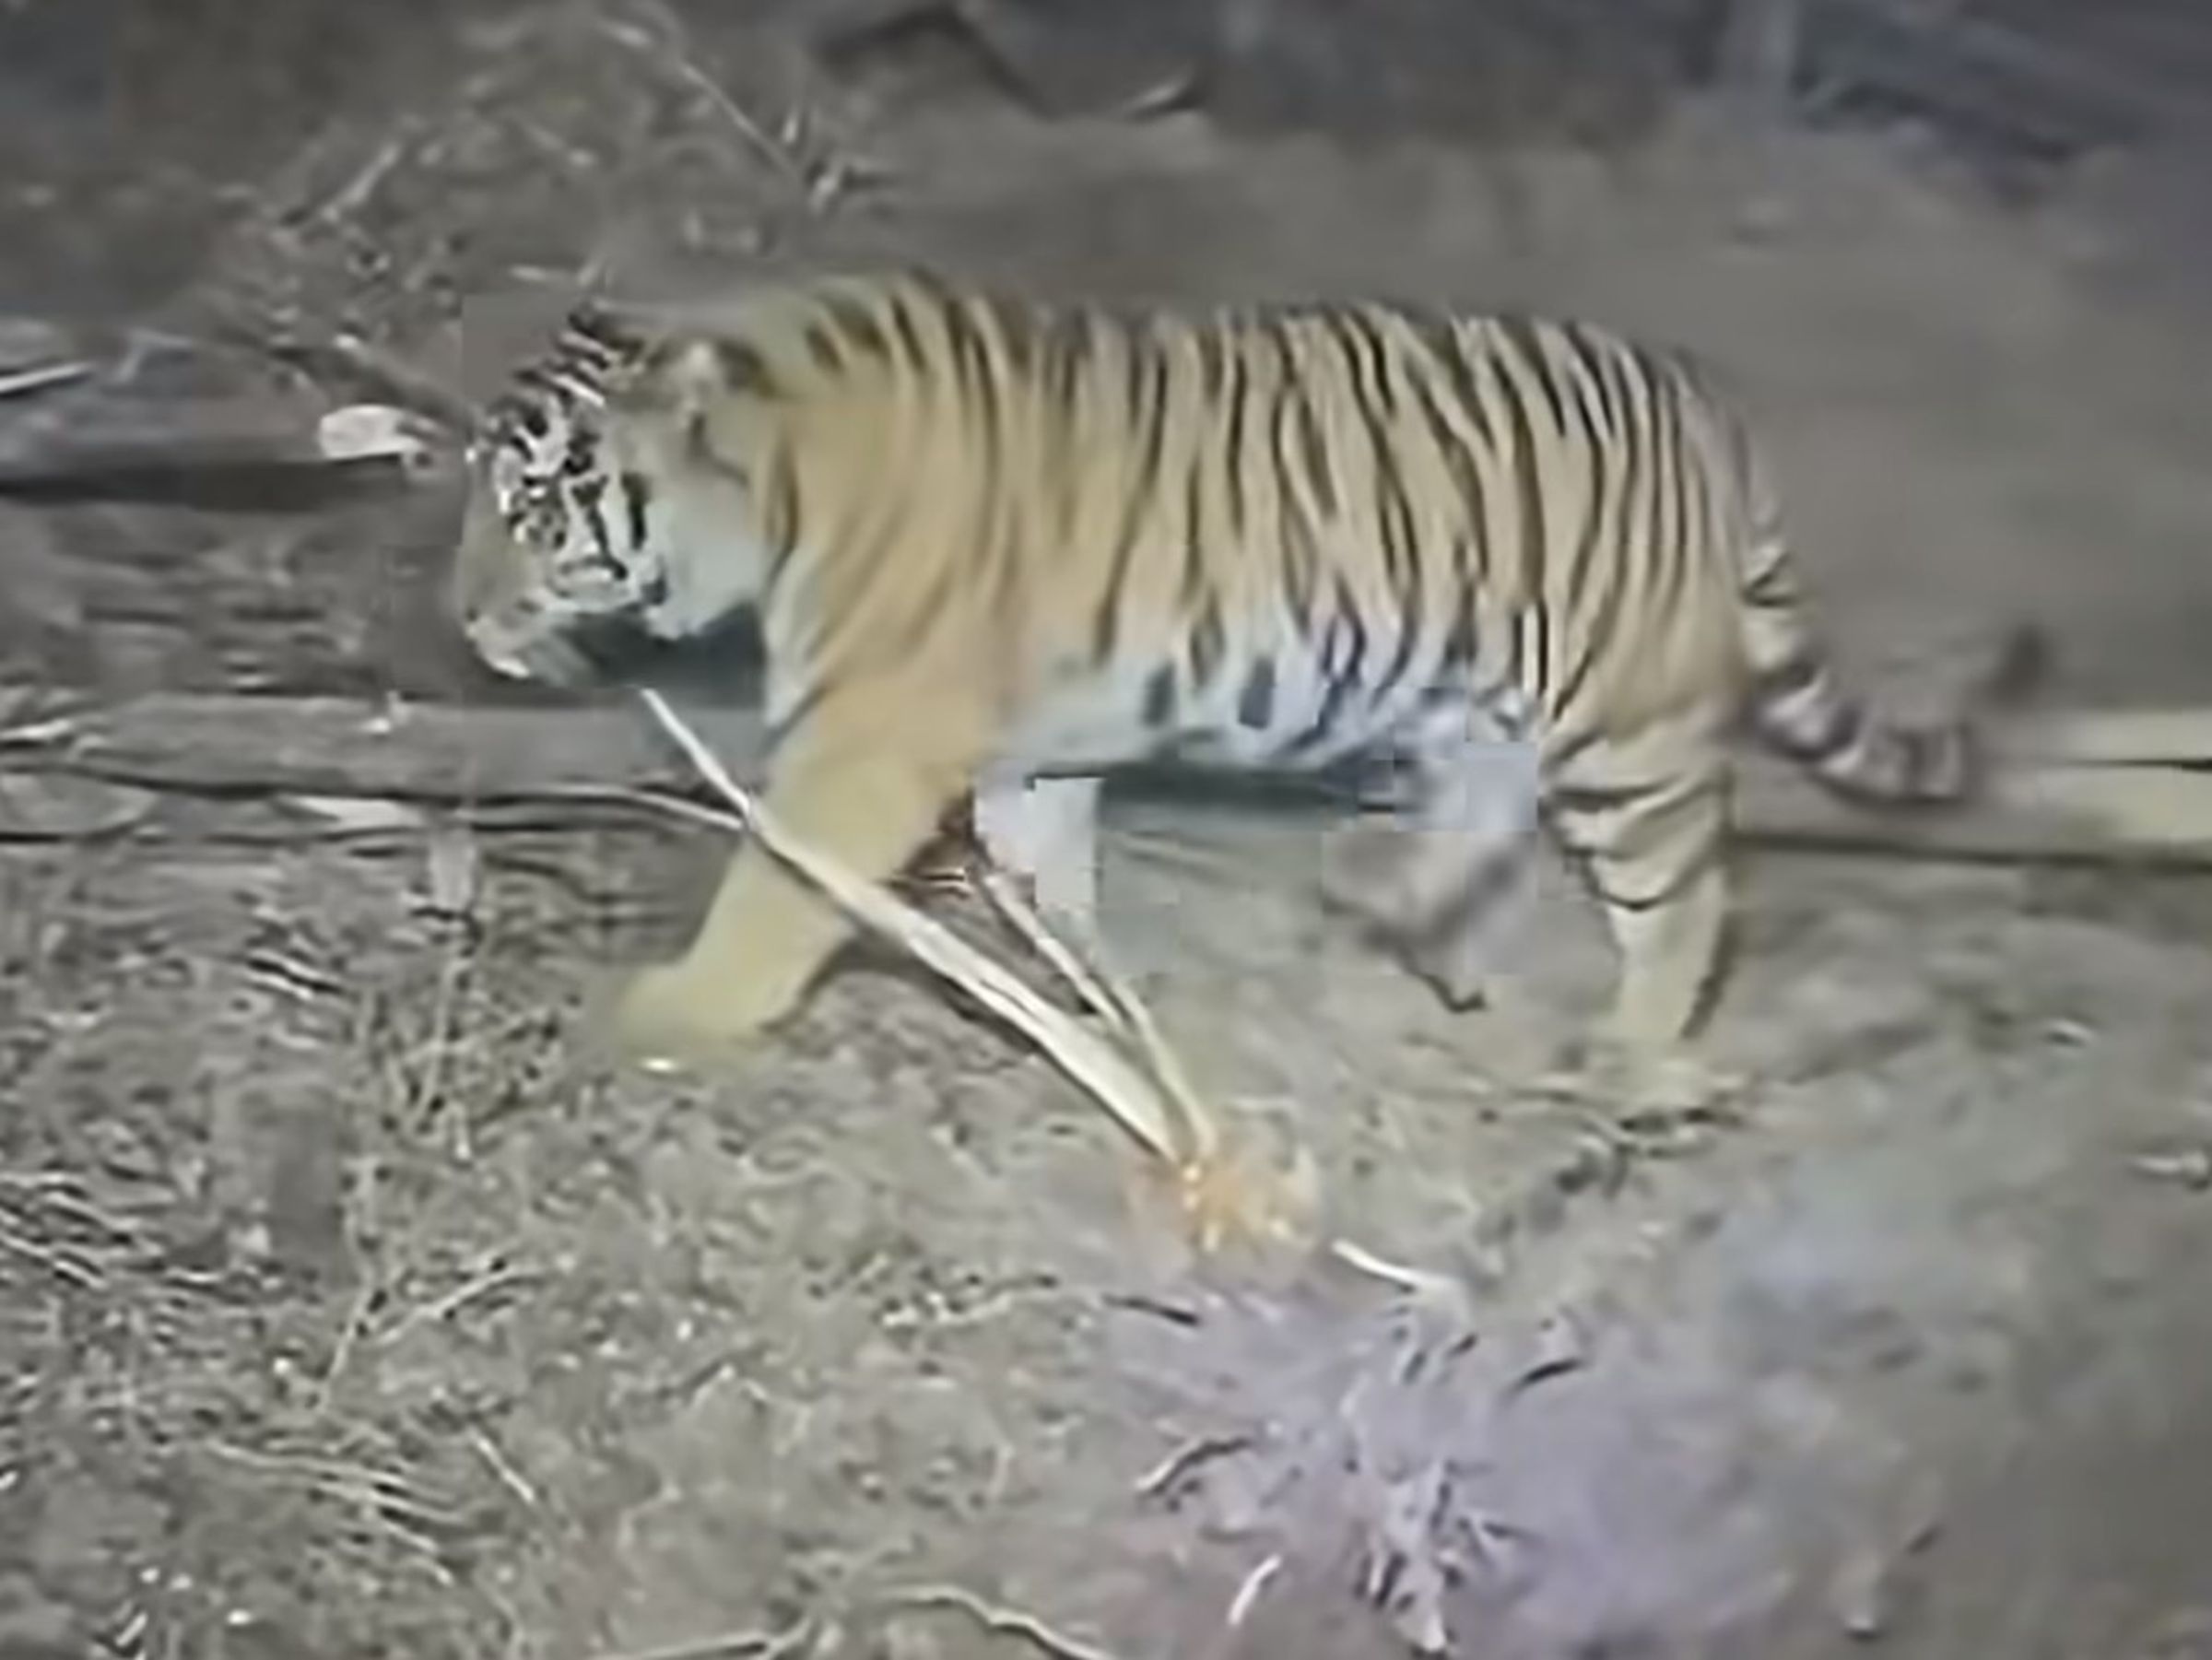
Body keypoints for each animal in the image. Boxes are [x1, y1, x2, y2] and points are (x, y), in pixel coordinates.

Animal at [451, 267, 2028, 1096]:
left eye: (533, 509)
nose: (461, 616)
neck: (783, 479)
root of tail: (1710, 413)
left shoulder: (866, 743)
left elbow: (777, 887)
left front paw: (679, 1011)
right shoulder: (1031, 754)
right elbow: (1054, 888)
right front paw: (1094, 1009)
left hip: (1621, 731)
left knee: (1687, 895)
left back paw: (1626, 1048)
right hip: (1478, 707)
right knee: (1481, 822)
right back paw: (1390, 908)